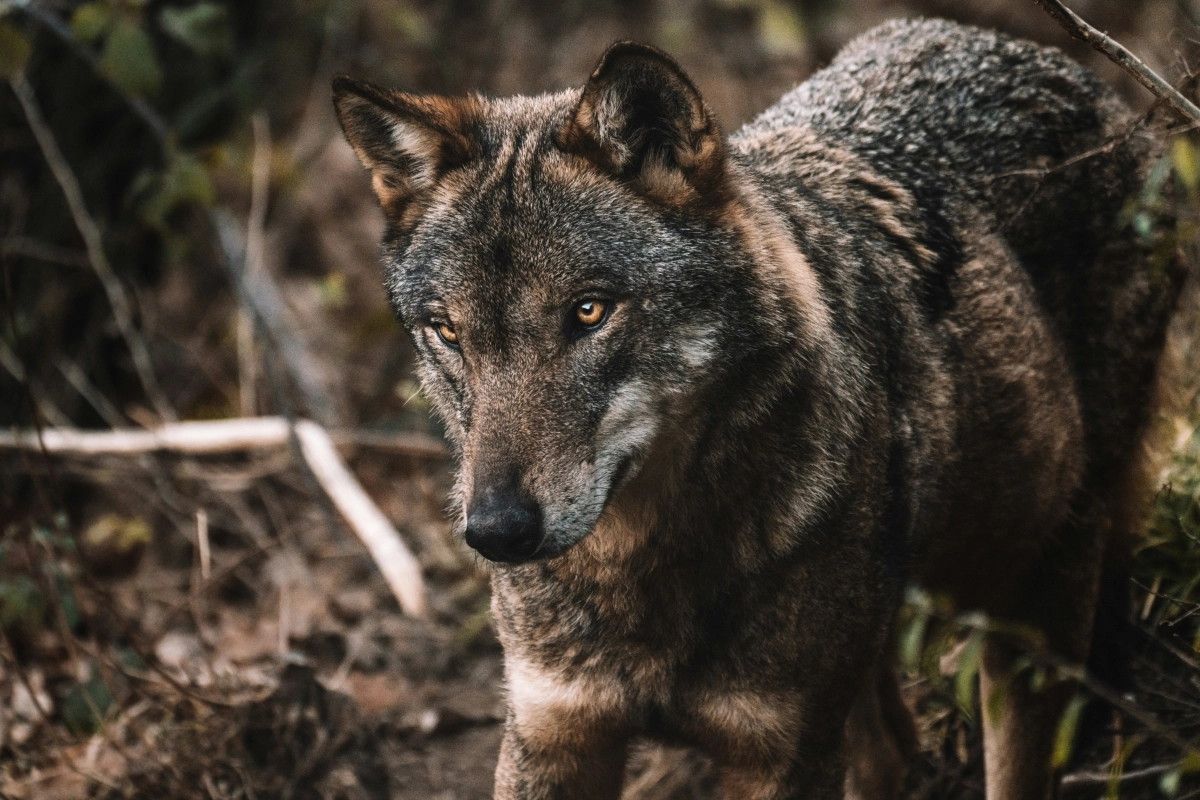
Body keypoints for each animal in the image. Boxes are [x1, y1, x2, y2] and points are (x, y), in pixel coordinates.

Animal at [331, 17, 1180, 800]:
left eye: (589, 312)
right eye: (448, 331)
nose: (498, 533)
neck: (643, 573)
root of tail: (1028, 49)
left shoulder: (781, 753)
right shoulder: (552, 735)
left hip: (1035, 601)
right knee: (891, 748)